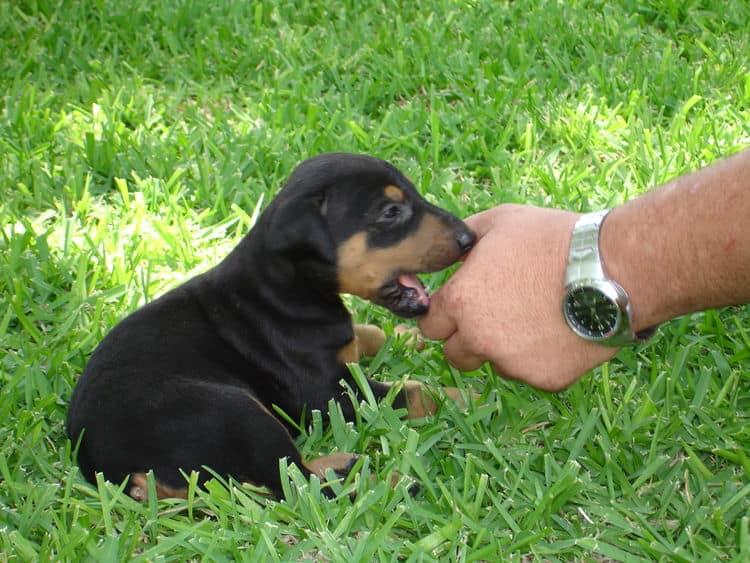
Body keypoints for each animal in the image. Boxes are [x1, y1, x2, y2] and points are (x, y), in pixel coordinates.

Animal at [66, 152, 476, 500]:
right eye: (391, 211)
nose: (469, 238)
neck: (289, 285)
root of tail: (118, 473)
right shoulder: (329, 394)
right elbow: (414, 391)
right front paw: (465, 397)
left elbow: (369, 333)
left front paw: (411, 338)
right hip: (236, 412)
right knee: (297, 485)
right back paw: (387, 483)